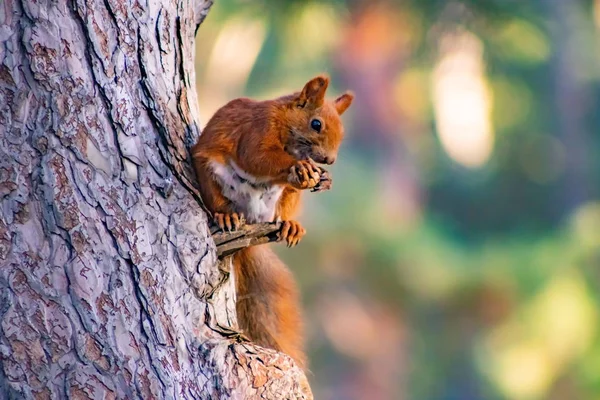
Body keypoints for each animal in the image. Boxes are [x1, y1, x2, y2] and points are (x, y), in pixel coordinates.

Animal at [191, 73, 352, 368]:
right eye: (316, 124)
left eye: (342, 131)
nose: (329, 160)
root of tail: (251, 220)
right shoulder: (257, 131)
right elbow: (257, 156)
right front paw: (300, 167)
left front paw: (325, 179)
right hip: (210, 174)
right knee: (219, 201)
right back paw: (226, 214)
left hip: (284, 197)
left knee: (285, 209)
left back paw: (290, 225)